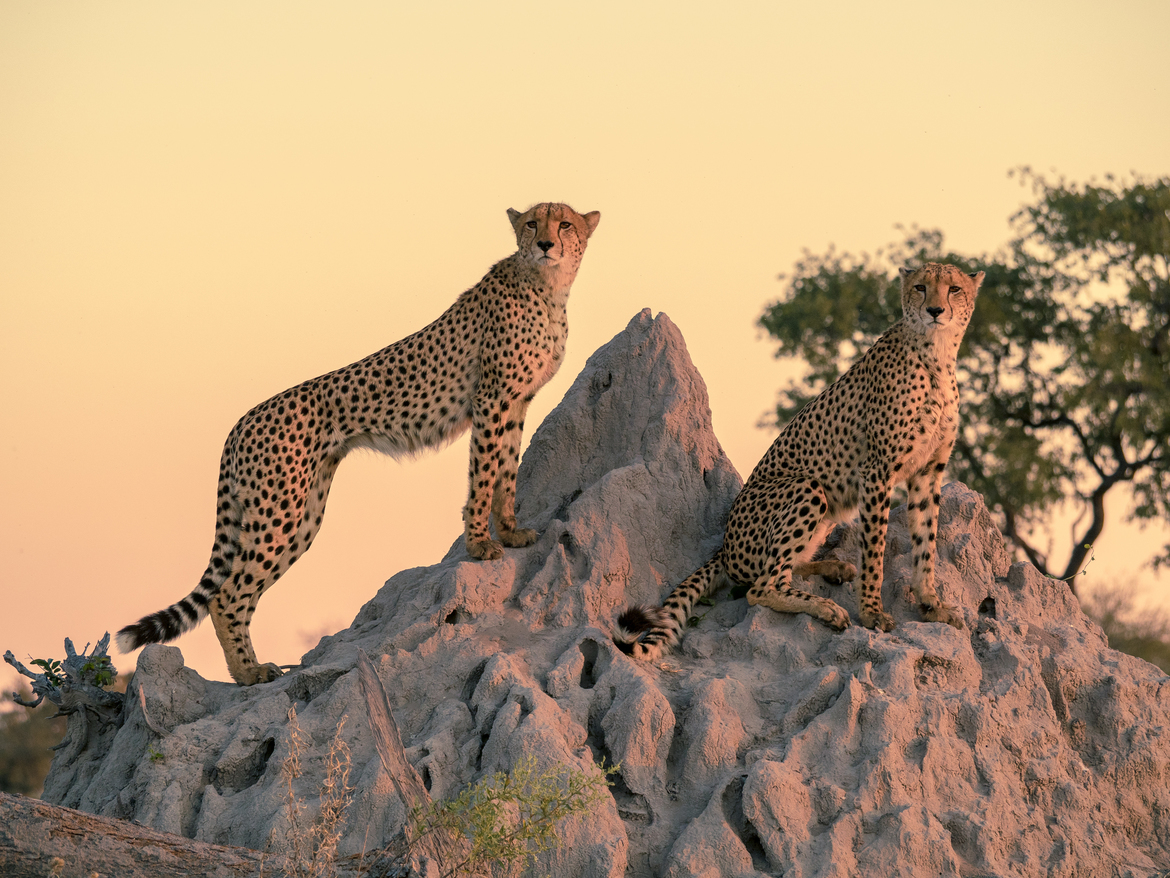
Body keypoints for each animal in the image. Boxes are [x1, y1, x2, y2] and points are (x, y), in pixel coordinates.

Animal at [117, 202, 601, 685]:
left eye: (565, 224)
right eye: (532, 224)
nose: (546, 244)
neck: (547, 287)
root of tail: (241, 421)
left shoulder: (516, 403)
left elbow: (506, 471)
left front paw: (512, 530)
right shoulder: (491, 399)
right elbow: (482, 474)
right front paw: (480, 543)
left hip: (301, 517)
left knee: (243, 591)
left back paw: (249, 669)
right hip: (279, 512)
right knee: (227, 596)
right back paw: (249, 673)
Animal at [614, 263, 984, 660]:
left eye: (954, 289)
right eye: (920, 287)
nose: (935, 310)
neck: (936, 355)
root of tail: (725, 547)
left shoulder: (928, 472)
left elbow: (926, 542)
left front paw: (932, 604)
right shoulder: (877, 471)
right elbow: (876, 549)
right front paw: (872, 612)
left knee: (786, 568)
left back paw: (835, 568)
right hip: (807, 486)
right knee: (762, 585)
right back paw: (827, 607)